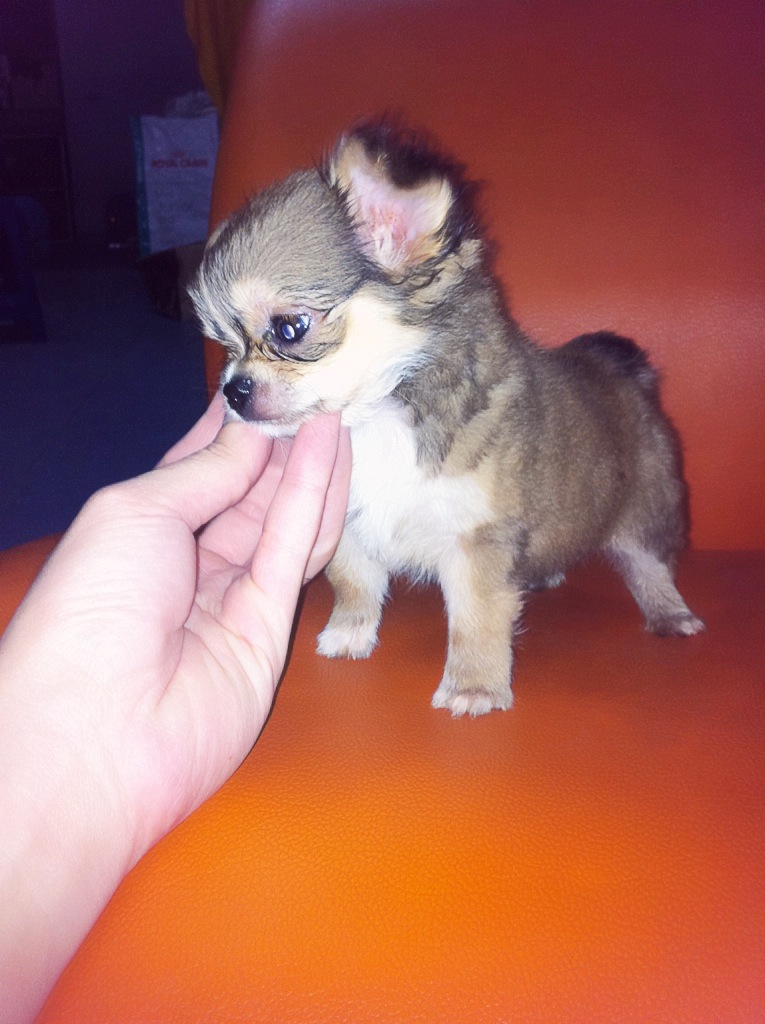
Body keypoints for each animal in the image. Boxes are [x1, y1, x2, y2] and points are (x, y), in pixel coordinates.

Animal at [190, 120, 704, 716]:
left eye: (289, 329)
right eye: (224, 346)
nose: (233, 391)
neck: (379, 419)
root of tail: (623, 369)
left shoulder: (475, 540)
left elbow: (476, 620)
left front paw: (474, 687)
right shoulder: (348, 524)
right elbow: (355, 583)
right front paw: (349, 633)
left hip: (649, 505)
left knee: (650, 564)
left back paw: (670, 614)